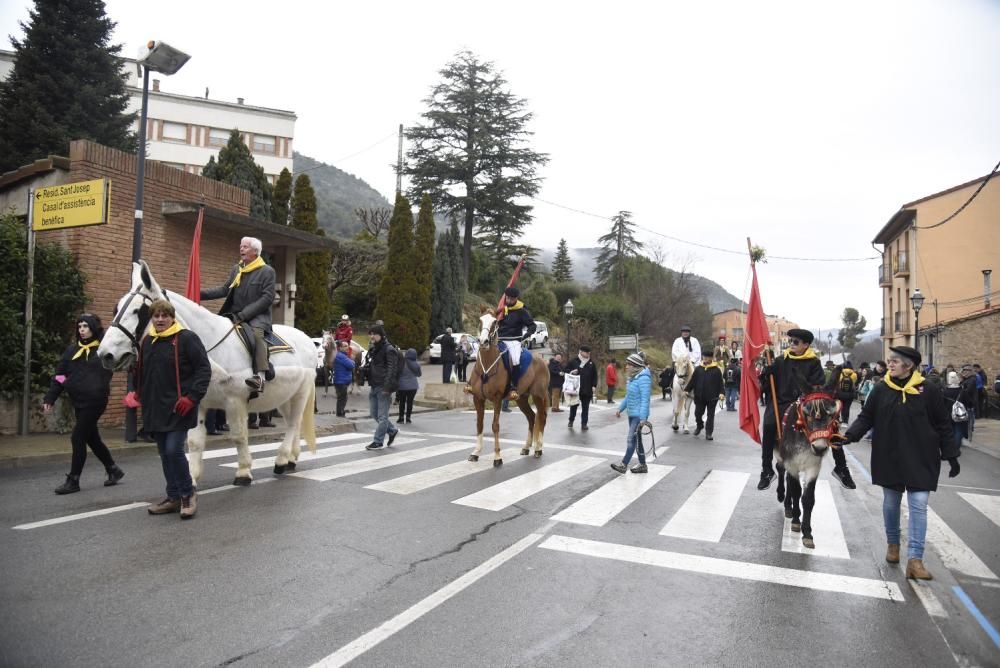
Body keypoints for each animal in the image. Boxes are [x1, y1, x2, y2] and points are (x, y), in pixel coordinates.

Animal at [97, 260, 316, 486]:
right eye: (116, 308)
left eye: (138, 310)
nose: (105, 354)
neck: (208, 345)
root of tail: (307, 339)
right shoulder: (197, 403)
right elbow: (194, 441)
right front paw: (192, 479)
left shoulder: (235, 401)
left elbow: (239, 436)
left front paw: (243, 472)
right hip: (284, 397)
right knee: (292, 423)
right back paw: (291, 459)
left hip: (300, 394)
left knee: (293, 424)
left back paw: (281, 460)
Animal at [464, 312, 552, 464]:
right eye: (480, 320)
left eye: (494, 322)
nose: (483, 341)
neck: (487, 365)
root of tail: (542, 360)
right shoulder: (478, 399)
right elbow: (479, 424)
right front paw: (476, 453)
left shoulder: (497, 399)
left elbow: (495, 425)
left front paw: (497, 457)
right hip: (521, 399)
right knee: (532, 417)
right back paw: (526, 447)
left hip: (538, 396)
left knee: (541, 417)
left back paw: (538, 449)